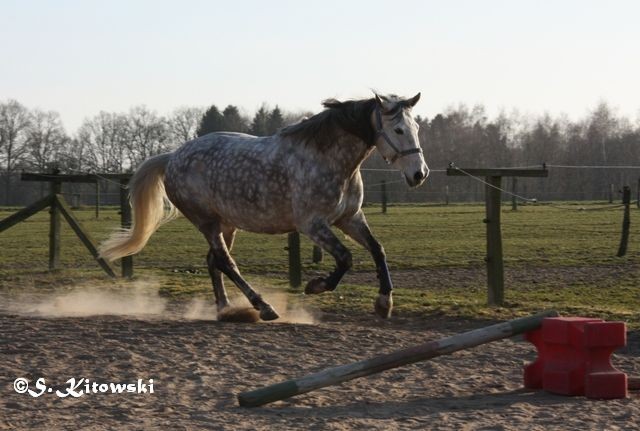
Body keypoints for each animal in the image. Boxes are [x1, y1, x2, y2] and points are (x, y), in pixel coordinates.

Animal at [100, 93, 428, 320]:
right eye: (398, 130)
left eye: (417, 127)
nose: (419, 174)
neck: (331, 161)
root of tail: (172, 157)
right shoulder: (313, 225)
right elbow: (346, 259)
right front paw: (316, 285)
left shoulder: (349, 218)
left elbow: (377, 249)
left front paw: (384, 303)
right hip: (207, 222)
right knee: (226, 262)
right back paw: (263, 306)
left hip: (226, 224)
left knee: (213, 262)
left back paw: (226, 309)